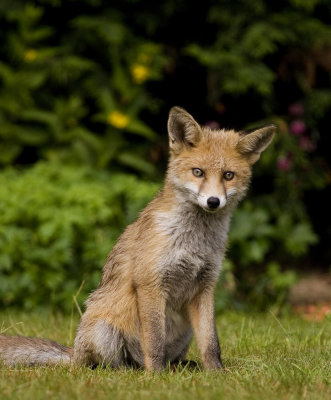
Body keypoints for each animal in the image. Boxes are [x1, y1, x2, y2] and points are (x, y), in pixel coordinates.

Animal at [0, 107, 276, 372]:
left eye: (228, 175)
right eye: (198, 172)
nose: (213, 201)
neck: (193, 241)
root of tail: (74, 352)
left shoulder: (205, 287)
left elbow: (211, 343)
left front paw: (216, 374)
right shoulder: (150, 284)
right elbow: (154, 342)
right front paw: (155, 376)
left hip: (185, 331)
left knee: (169, 357)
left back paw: (180, 366)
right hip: (104, 332)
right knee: (109, 366)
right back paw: (136, 372)